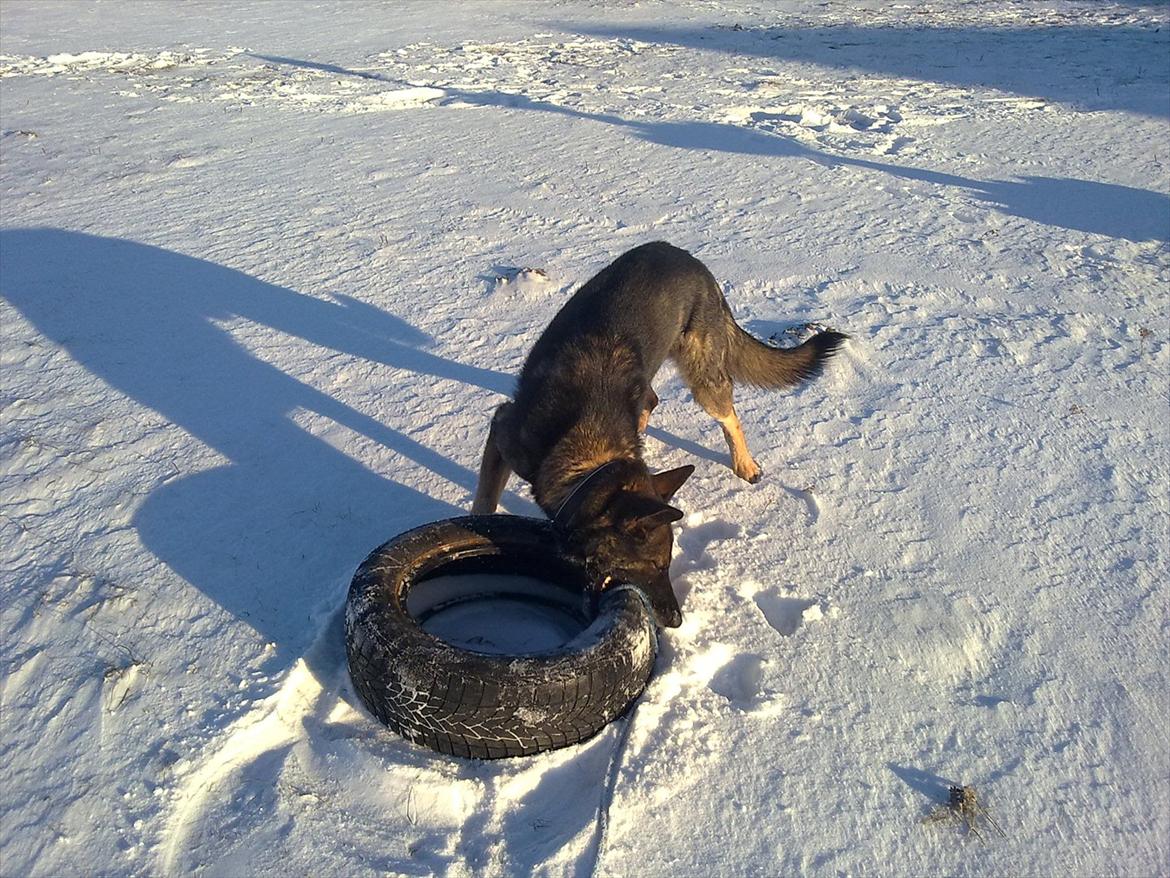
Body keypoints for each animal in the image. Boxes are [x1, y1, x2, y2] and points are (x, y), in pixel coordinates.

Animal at [470, 242, 847, 627]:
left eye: (666, 564)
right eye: (654, 564)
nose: (677, 620)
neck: (591, 460)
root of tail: (691, 260)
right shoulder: (502, 431)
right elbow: (485, 501)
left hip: (702, 377)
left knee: (728, 415)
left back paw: (744, 464)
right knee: (653, 399)